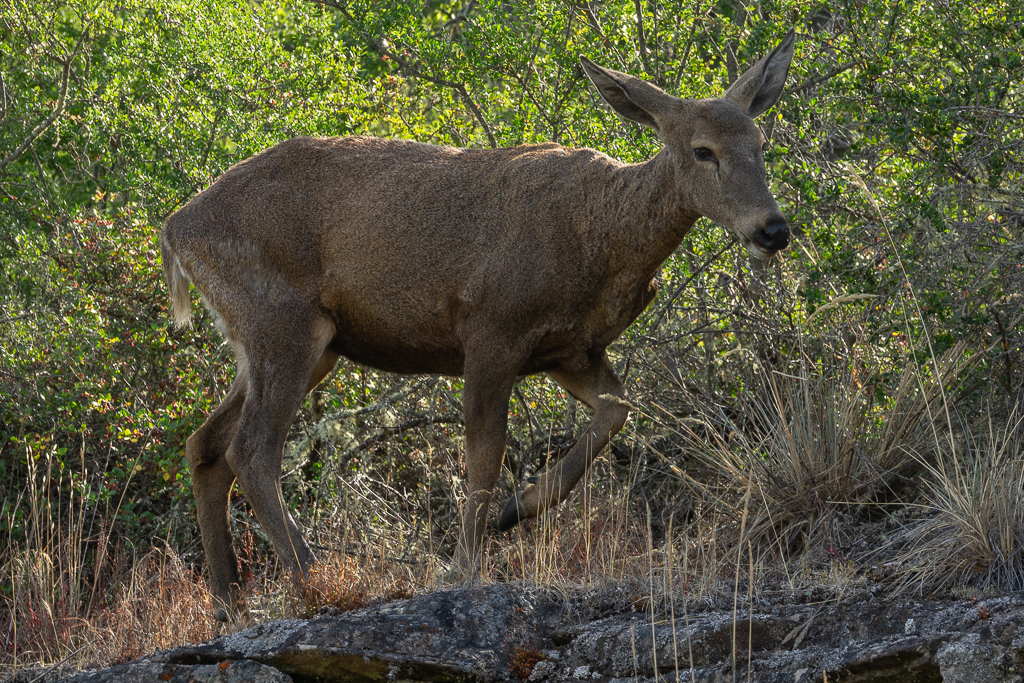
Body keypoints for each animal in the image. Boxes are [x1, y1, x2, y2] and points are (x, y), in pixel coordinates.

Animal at [161, 31, 796, 621]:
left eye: (761, 143)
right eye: (703, 150)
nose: (773, 229)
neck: (601, 241)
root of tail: (175, 229)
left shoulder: (572, 350)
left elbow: (617, 411)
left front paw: (515, 512)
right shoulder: (492, 327)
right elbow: (485, 452)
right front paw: (464, 565)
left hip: (303, 344)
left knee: (204, 444)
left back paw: (228, 601)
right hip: (283, 321)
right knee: (251, 451)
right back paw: (314, 578)